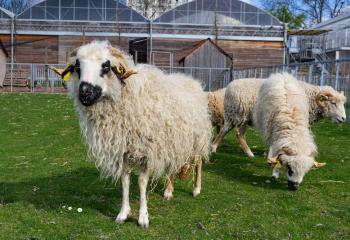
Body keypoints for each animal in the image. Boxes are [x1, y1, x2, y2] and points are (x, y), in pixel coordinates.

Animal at [50, 41, 212, 229]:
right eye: (77, 66)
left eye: (106, 67)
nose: (84, 92)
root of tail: (191, 80)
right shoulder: (124, 150)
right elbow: (125, 181)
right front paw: (123, 213)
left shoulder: (147, 150)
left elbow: (141, 182)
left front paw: (143, 217)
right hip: (173, 140)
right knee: (173, 166)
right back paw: (168, 191)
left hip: (198, 138)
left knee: (198, 162)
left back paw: (196, 189)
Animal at [212, 78, 346, 157]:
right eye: (333, 103)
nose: (344, 119)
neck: (310, 99)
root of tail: (229, 87)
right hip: (238, 114)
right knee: (232, 132)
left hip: (239, 115)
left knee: (232, 132)